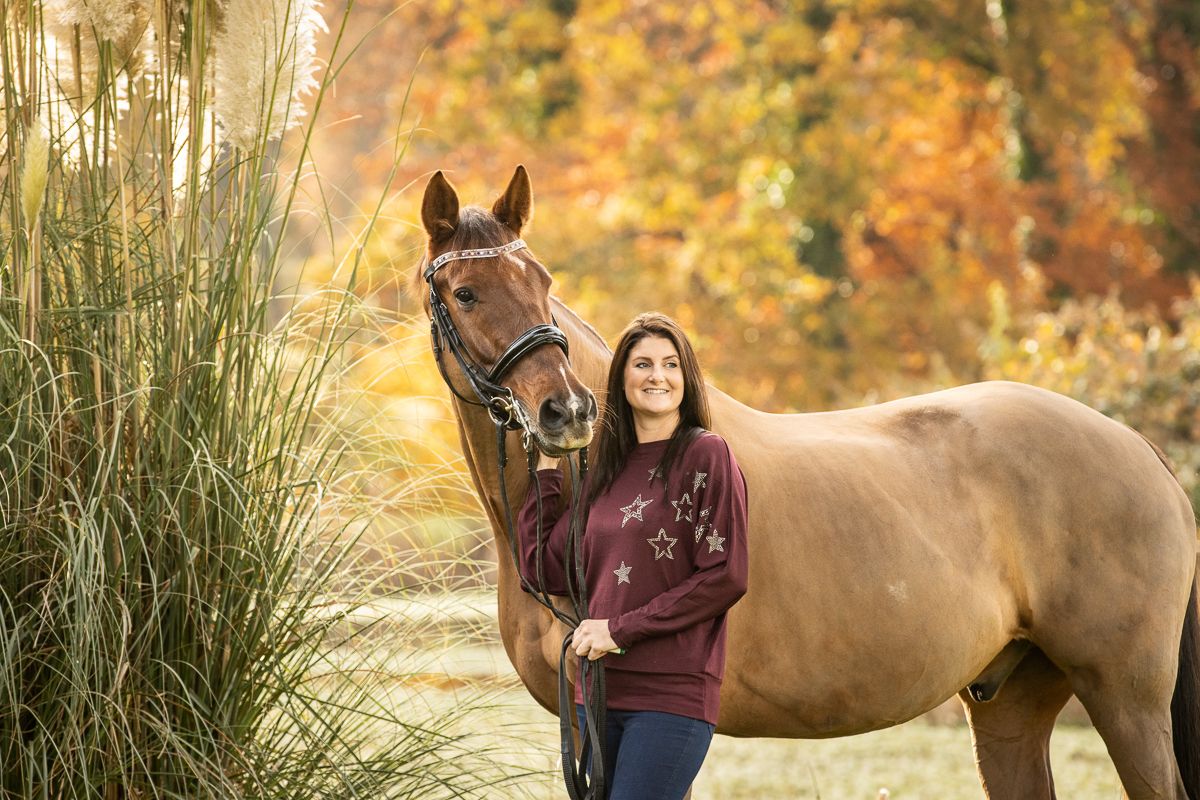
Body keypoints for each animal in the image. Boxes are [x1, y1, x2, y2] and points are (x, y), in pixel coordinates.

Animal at [413, 165, 1200, 799]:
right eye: (466, 292)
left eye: (542, 282)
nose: (569, 411)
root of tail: (1139, 448)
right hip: (1011, 705)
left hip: (1126, 702)